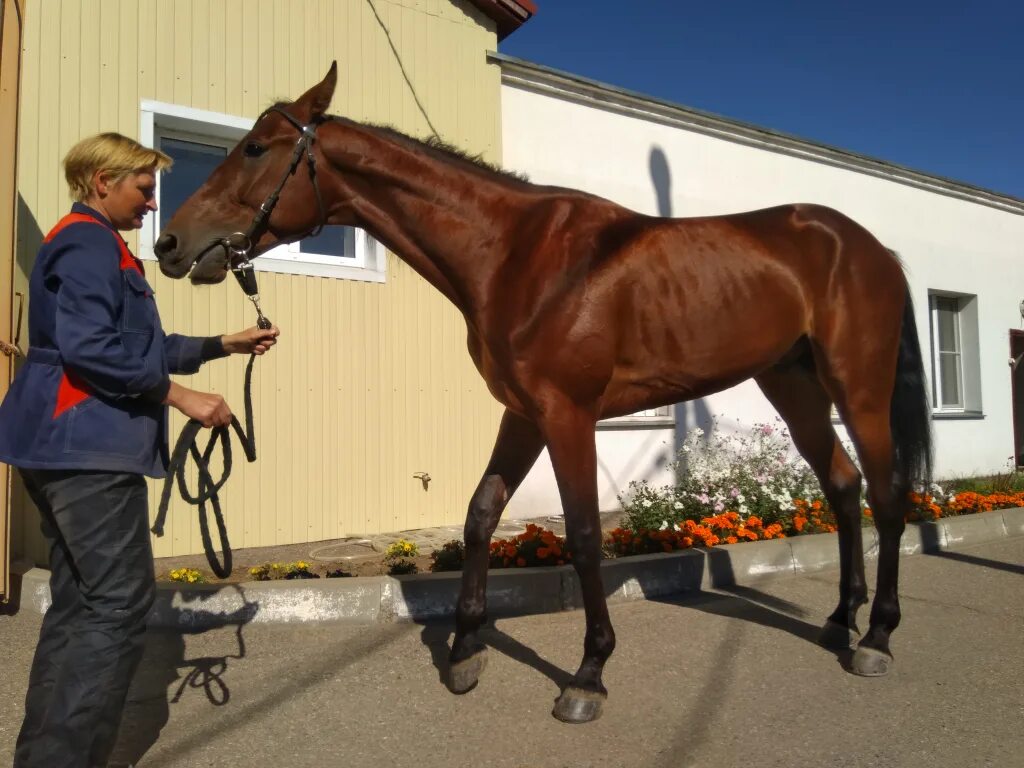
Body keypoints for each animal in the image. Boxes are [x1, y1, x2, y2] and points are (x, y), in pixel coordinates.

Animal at [153, 63, 937, 724]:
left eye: (256, 147)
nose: (170, 244)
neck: (515, 254)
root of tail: (870, 247)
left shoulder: (568, 415)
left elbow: (585, 535)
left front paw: (588, 674)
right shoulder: (523, 413)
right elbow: (480, 515)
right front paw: (465, 651)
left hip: (858, 388)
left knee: (887, 494)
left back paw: (878, 637)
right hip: (792, 385)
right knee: (843, 487)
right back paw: (839, 621)